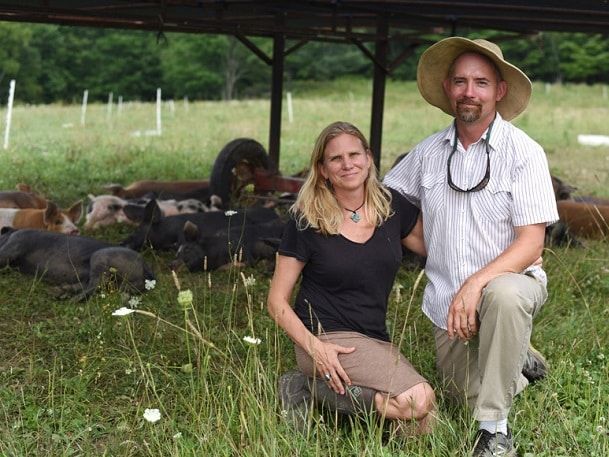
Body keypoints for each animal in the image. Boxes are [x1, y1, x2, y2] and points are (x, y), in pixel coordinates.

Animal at [0, 227, 154, 300]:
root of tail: (145, 265)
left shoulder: (17, 242)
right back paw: (59, 292)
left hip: (100, 257)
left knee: (96, 284)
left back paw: (71, 299)